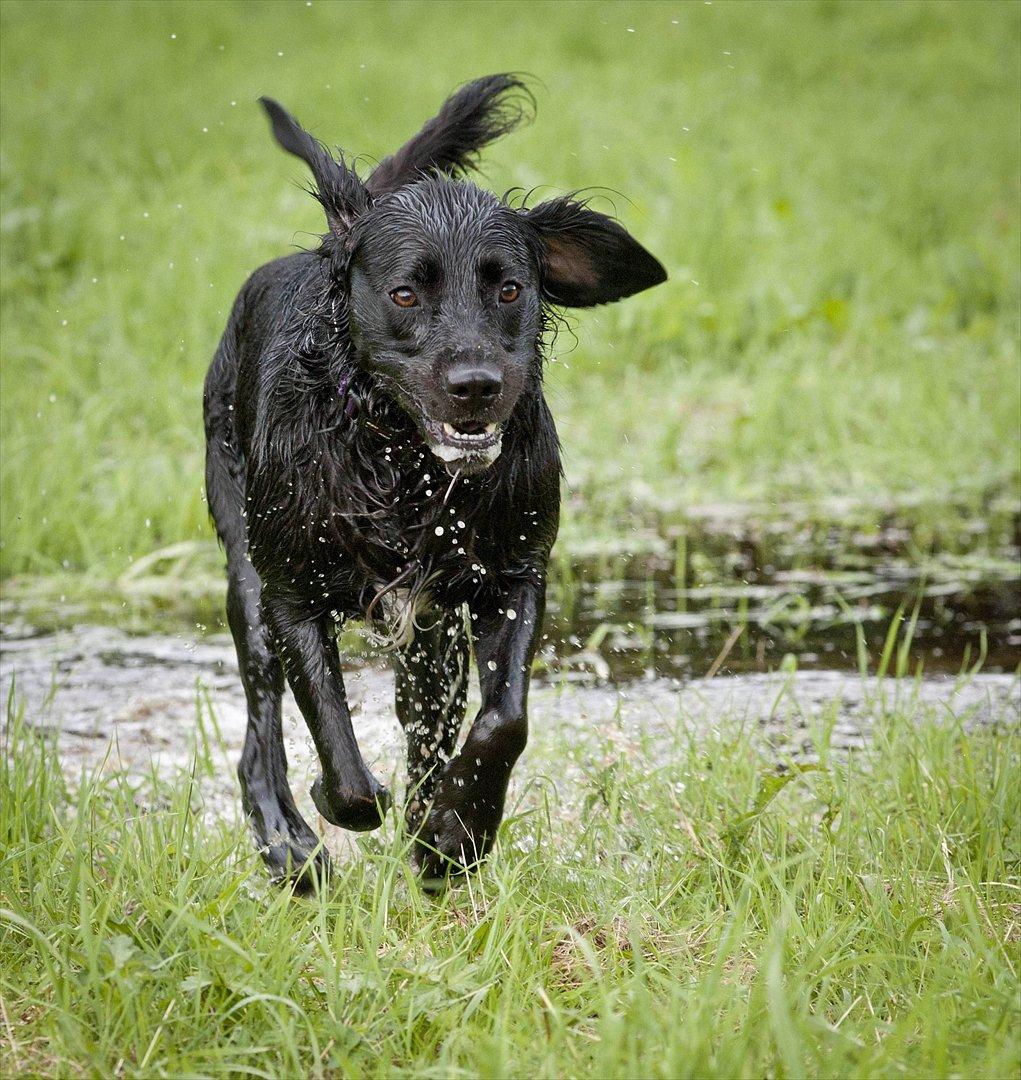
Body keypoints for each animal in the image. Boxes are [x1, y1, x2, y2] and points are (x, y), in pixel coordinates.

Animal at [205, 73, 669, 885]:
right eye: (404, 294)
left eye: (509, 290)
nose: (476, 386)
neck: (405, 469)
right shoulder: (293, 592)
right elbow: (339, 750)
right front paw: (343, 802)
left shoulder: (509, 576)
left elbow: (503, 720)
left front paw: (454, 831)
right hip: (248, 576)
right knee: (260, 733)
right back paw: (287, 841)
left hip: (431, 636)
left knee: (426, 720)